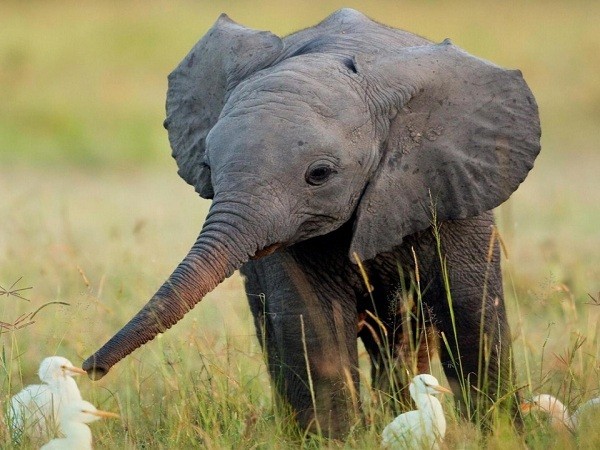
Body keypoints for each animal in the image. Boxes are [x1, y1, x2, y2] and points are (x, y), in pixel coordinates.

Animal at [83, 7, 540, 440]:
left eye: (319, 174)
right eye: (209, 167)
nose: (90, 368)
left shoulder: (452, 185)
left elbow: (470, 314)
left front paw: (501, 434)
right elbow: (313, 322)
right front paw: (333, 439)